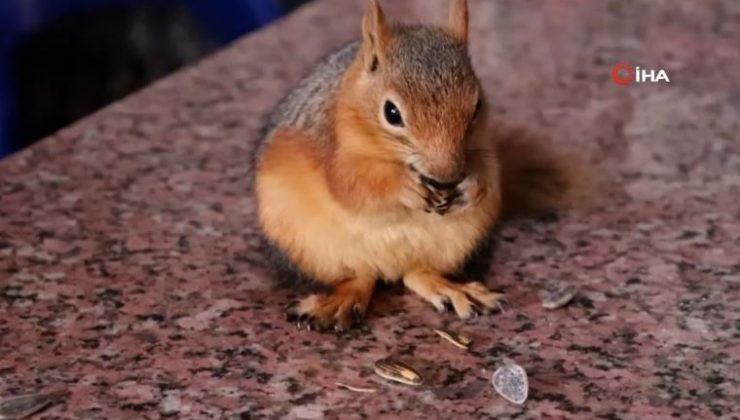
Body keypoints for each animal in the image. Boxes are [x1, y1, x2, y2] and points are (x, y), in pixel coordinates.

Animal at [254, 0, 588, 334]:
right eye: (391, 113)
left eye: (477, 106)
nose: (447, 175)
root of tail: (387, 268)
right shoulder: (333, 148)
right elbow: (350, 184)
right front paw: (405, 187)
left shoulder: (481, 146)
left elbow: (484, 169)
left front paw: (470, 187)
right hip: (310, 245)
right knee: (359, 276)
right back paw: (337, 303)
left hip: (459, 240)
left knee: (416, 274)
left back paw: (453, 289)